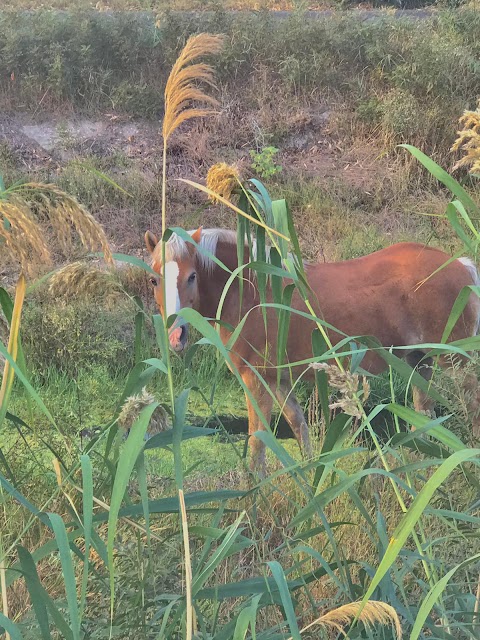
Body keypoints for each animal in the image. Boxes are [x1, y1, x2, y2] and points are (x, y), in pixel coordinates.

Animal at [145, 228, 480, 472]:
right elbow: (299, 427)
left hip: (455, 362)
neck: (251, 291)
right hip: (419, 361)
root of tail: (462, 266)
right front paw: (310, 478)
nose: (175, 336)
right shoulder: (279, 381)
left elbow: (257, 443)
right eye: (153, 280)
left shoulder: (256, 380)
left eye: (192, 276)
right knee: (424, 414)